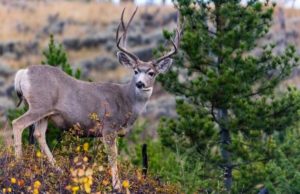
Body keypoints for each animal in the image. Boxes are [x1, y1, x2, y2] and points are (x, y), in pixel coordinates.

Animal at [11, 7, 182, 191]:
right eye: (135, 71)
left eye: (151, 73)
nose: (140, 83)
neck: (127, 102)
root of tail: (23, 72)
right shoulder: (108, 126)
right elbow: (112, 156)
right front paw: (117, 186)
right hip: (39, 105)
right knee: (17, 124)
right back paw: (19, 165)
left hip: (46, 112)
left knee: (39, 134)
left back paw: (57, 170)